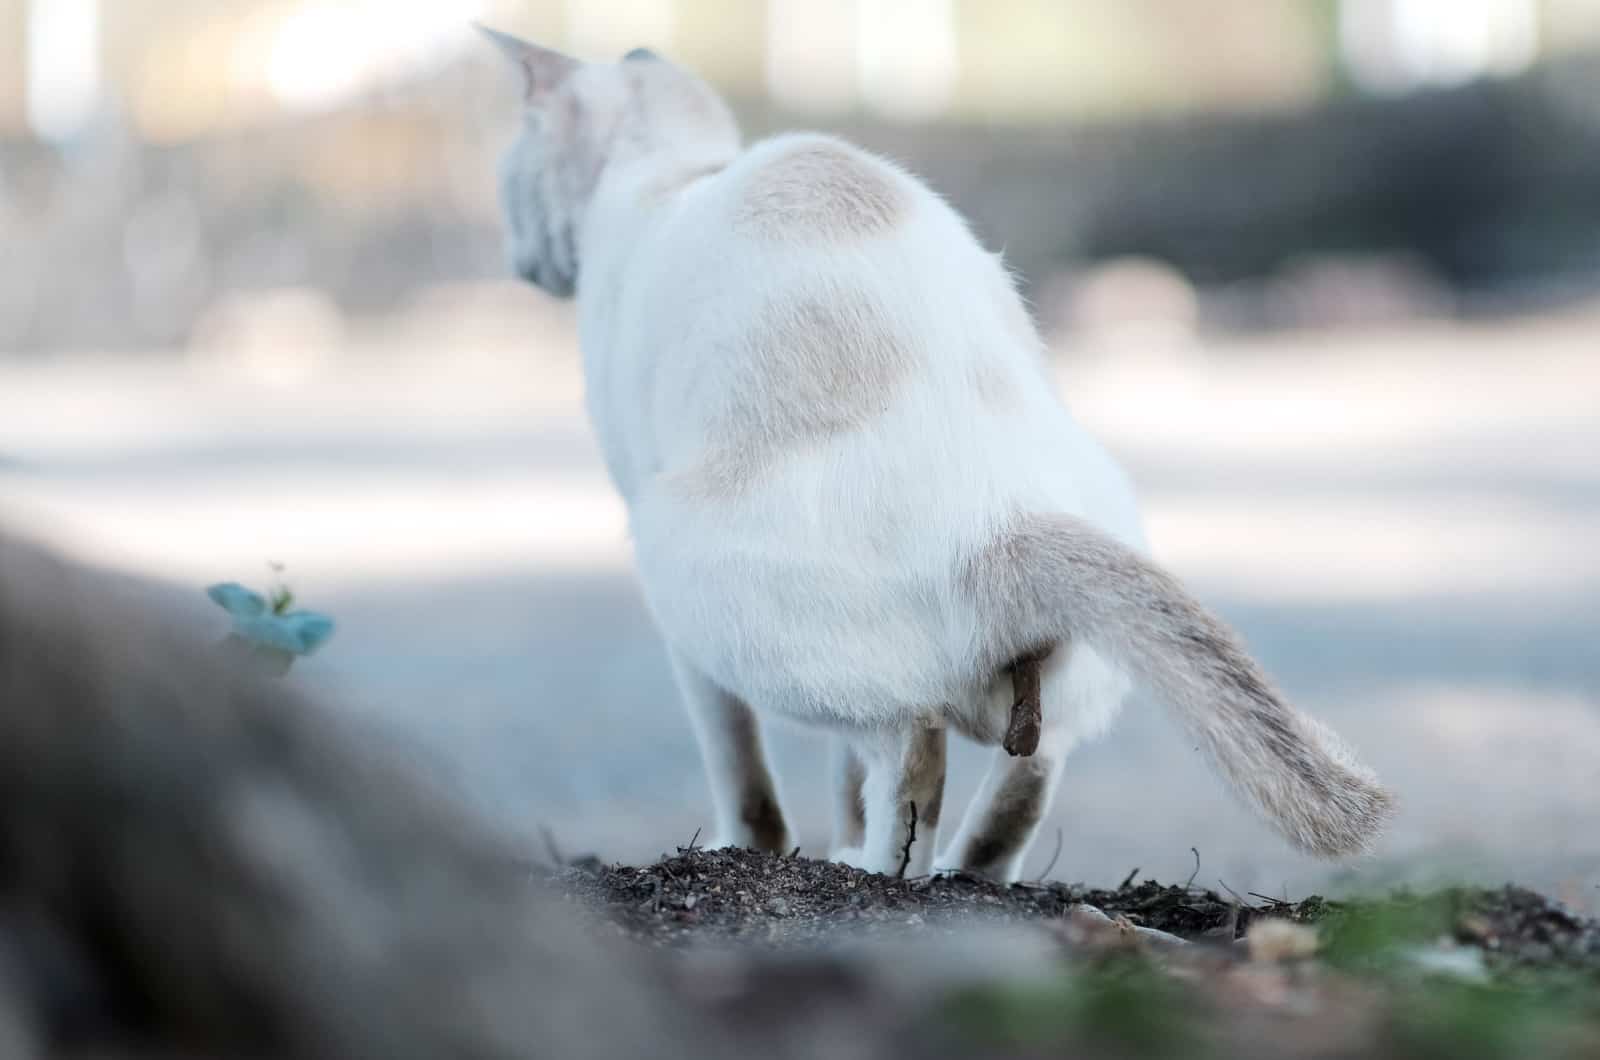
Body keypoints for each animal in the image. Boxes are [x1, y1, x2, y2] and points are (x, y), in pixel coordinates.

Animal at [480, 29, 1395, 883]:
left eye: (509, 177)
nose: (518, 261)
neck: (676, 171)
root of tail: (1001, 521)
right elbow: (843, 780)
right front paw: (840, 830)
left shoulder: (656, 562)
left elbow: (737, 760)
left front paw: (750, 846)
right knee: (1024, 776)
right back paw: (958, 872)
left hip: (678, 558)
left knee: (911, 749)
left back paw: (870, 871)